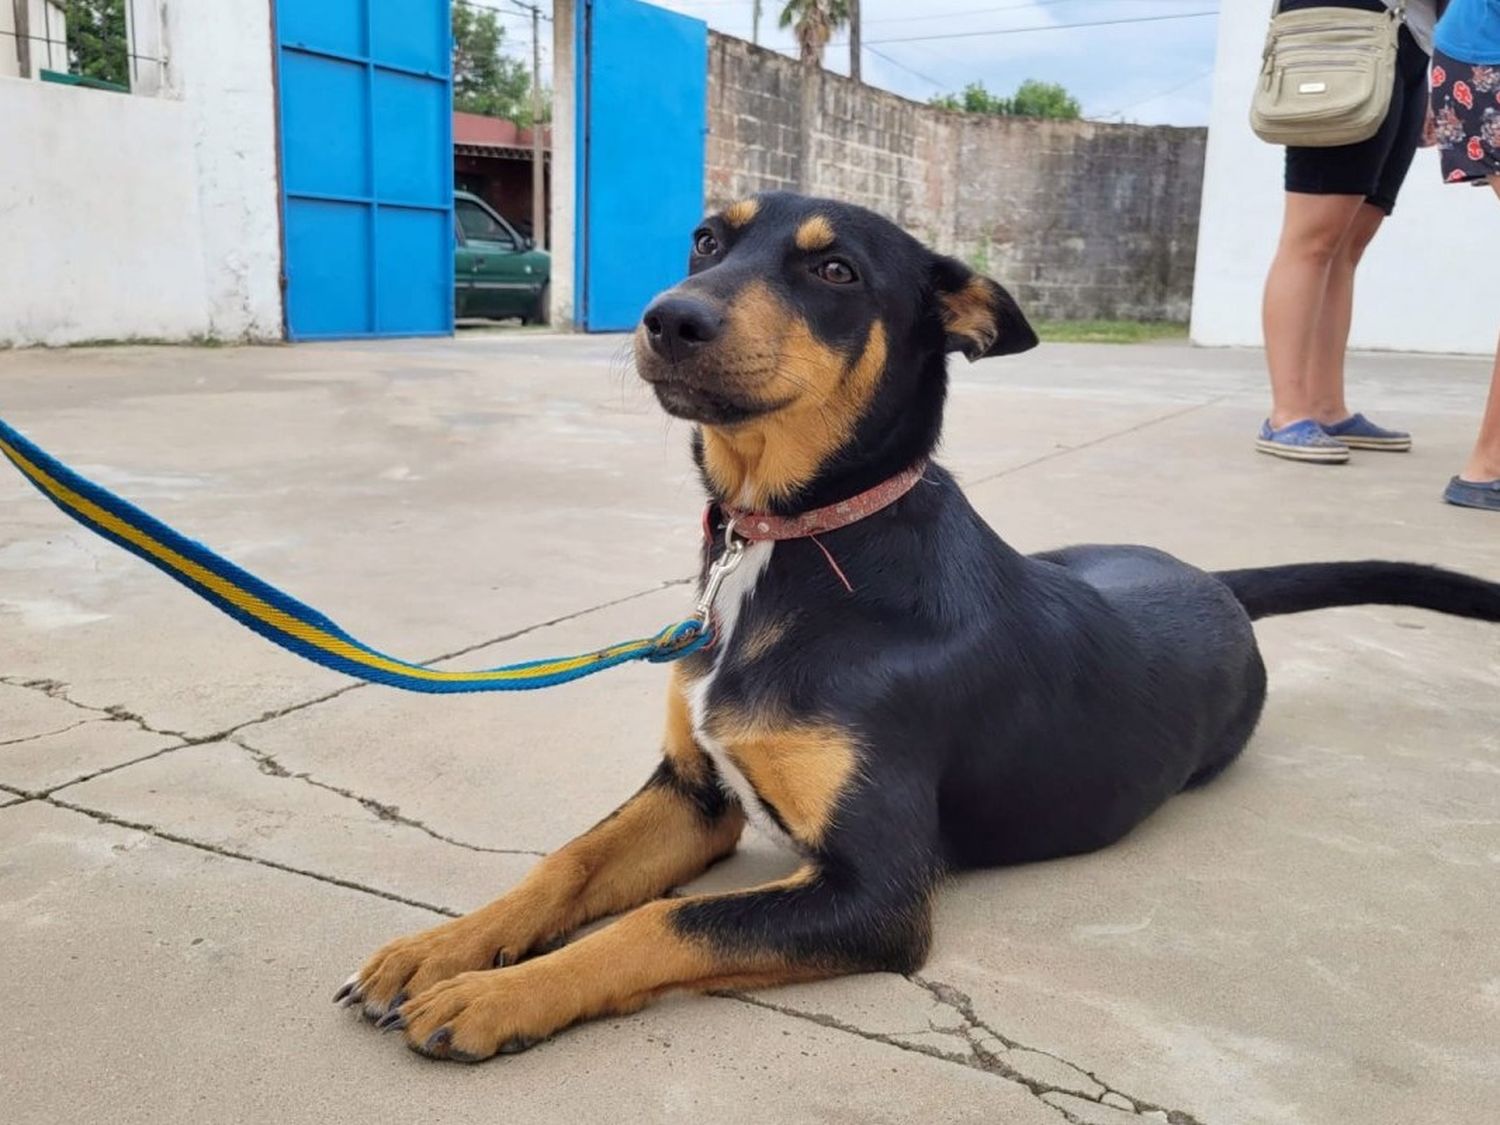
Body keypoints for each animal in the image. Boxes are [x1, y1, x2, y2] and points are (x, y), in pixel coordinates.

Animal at [337, 193, 1500, 1068]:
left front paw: (495, 998)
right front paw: (443, 949)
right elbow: (566, 868)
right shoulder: (694, 794)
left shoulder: (876, 893)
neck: (796, 541)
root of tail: (1210, 579)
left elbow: (658, 921)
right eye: (707, 240)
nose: (666, 318)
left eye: (836, 270)